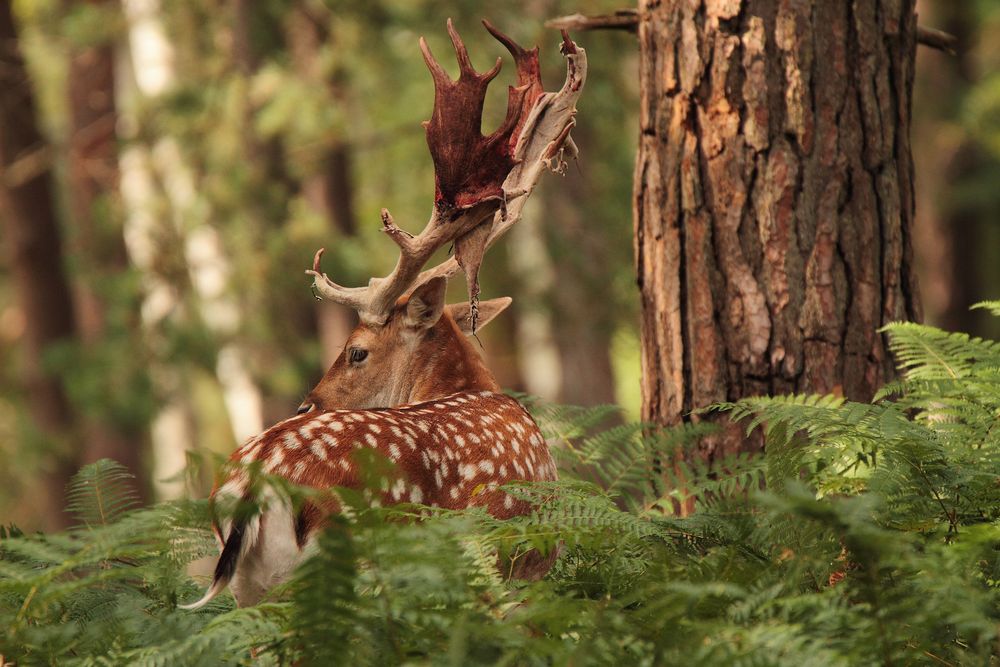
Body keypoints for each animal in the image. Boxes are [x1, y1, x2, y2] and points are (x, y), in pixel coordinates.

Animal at [180, 19, 584, 612]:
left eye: (356, 351)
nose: (306, 405)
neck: (473, 387)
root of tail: (252, 485)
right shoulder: (520, 577)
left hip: (252, 591)